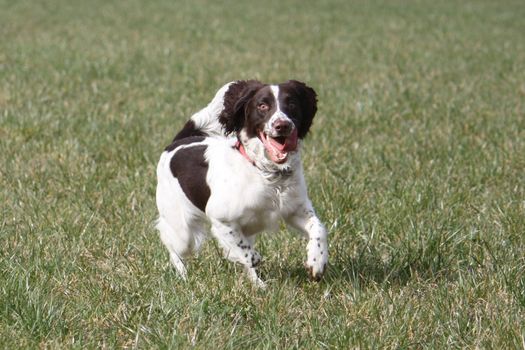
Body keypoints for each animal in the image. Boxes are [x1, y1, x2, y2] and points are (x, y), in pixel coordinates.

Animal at [156, 80, 328, 288]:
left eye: (292, 103)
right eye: (262, 106)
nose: (282, 125)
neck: (265, 172)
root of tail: (175, 144)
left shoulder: (295, 209)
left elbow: (319, 229)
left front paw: (316, 262)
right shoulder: (221, 218)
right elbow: (247, 253)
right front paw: (248, 258)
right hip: (183, 232)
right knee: (172, 246)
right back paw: (183, 276)